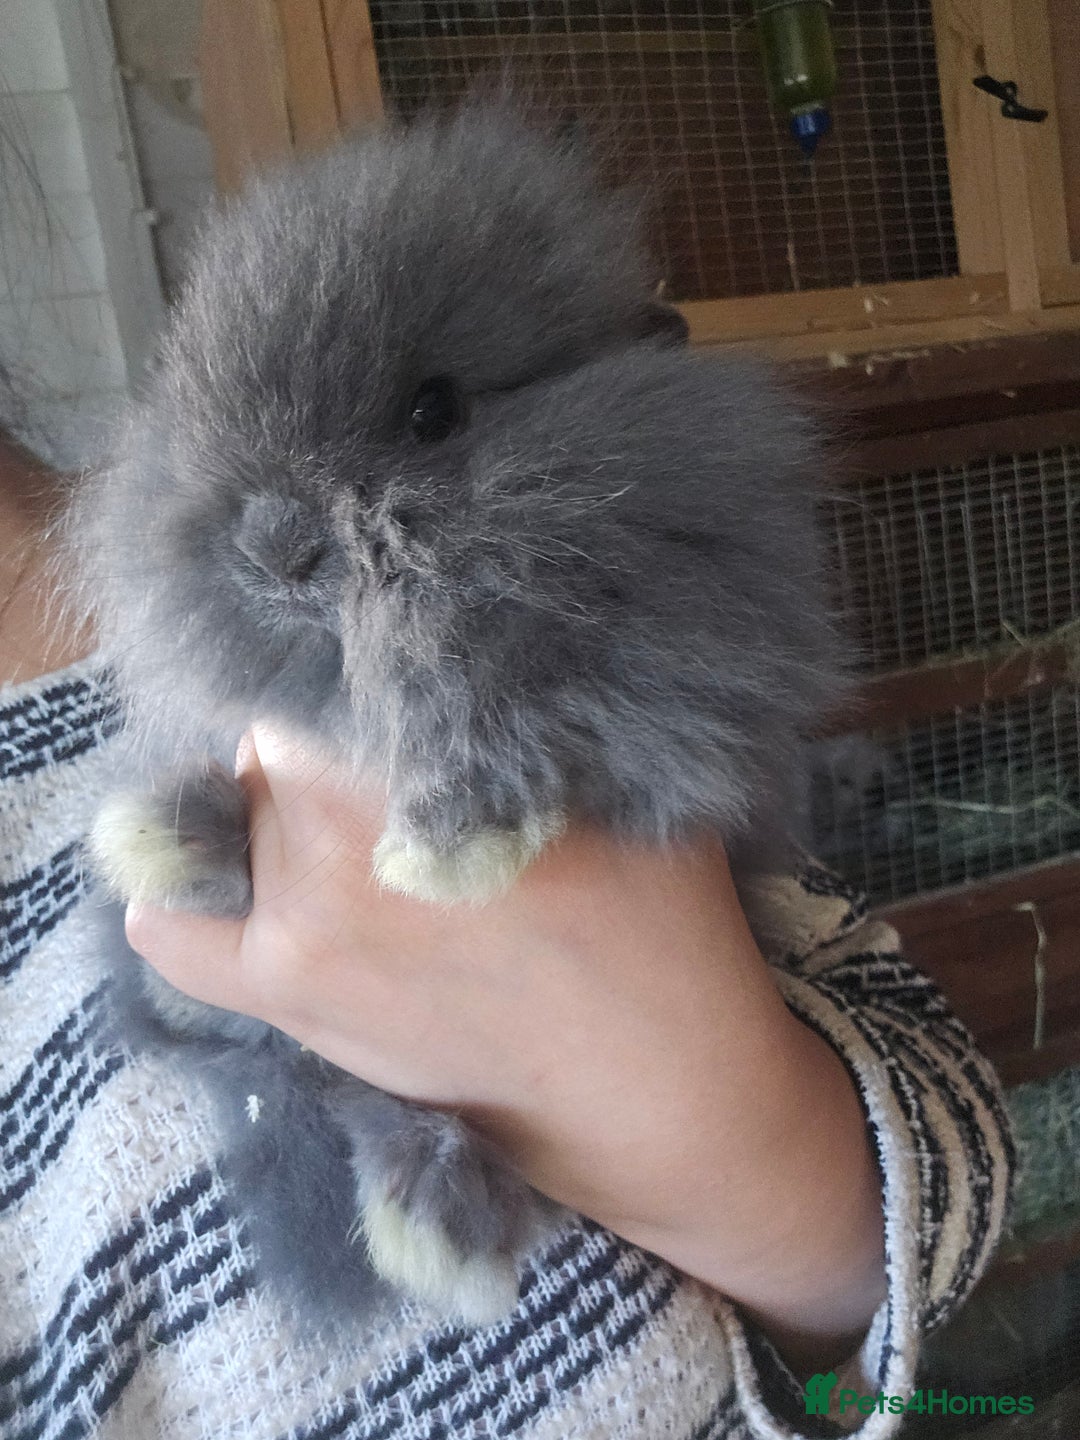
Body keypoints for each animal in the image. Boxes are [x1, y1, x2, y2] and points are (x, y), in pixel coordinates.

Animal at [64, 98, 845, 1334]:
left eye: (434, 412)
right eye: (188, 404)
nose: (272, 545)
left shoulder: (692, 679)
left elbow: (554, 707)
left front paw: (451, 844)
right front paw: (176, 824)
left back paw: (437, 1228)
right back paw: (166, 844)